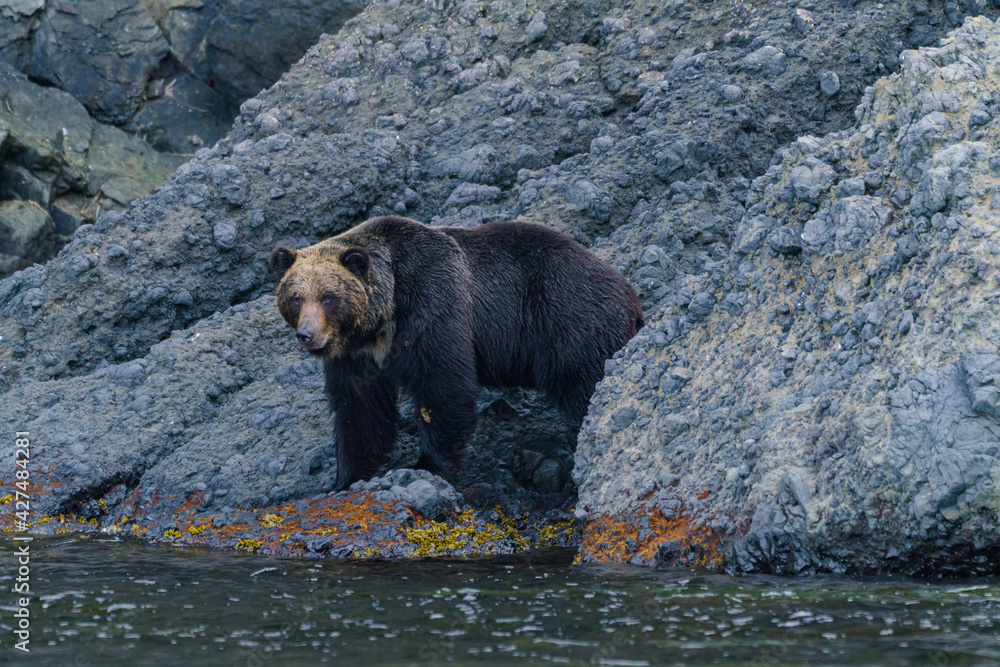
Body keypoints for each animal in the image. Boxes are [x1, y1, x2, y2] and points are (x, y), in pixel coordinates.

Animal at [272, 217, 640, 488]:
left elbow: (443, 387)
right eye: (296, 298)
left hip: (569, 320)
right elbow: (359, 409)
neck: (381, 321)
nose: (307, 335)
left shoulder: (433, 305)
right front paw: (346, 477)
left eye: (328, 297)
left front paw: (425, 465)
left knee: (587, 383)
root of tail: (628, 291)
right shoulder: (356, 356)